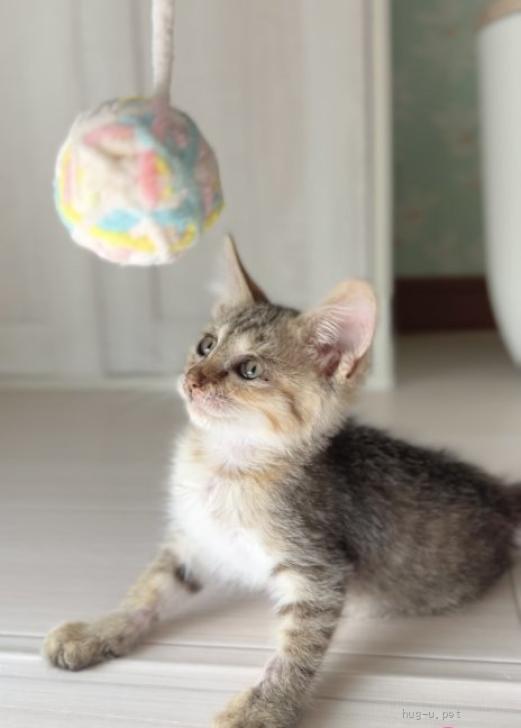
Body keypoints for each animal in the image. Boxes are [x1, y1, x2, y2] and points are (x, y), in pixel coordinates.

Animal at [44, 236, 521, 728]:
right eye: (205, 345)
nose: (192, 380)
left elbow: (298, 649)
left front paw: (263, 707)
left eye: (250, 370)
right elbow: (149, 587)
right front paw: (102, 629)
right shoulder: (196, 540)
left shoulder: (318, 571)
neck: (223, 466)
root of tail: (495, 490)